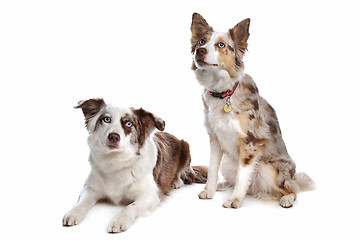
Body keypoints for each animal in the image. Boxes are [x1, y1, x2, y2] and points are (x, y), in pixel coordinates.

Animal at [63, 98, 207, 232]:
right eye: (106, 119)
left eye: (129, 123)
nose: (113, 137)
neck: (116, 161)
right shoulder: (90, 188)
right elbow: (82, 201)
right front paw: (73, 212)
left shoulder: (150, 195)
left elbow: (131, 207)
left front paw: (120, 220)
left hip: (185, 147)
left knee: (183, 173)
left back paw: (176, 182)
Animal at [190, 13, 314, 208]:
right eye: (202, 41)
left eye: (221, 45)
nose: (199, 51)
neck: (222, 91)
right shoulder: (215, 138)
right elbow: (212, 169)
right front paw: (209, 191)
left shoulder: (251, 142)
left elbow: (243, 176)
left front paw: (234, 200)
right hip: (228, 163)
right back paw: (222, 185)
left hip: (271, 168)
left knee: (291, 189)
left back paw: (286, 198)